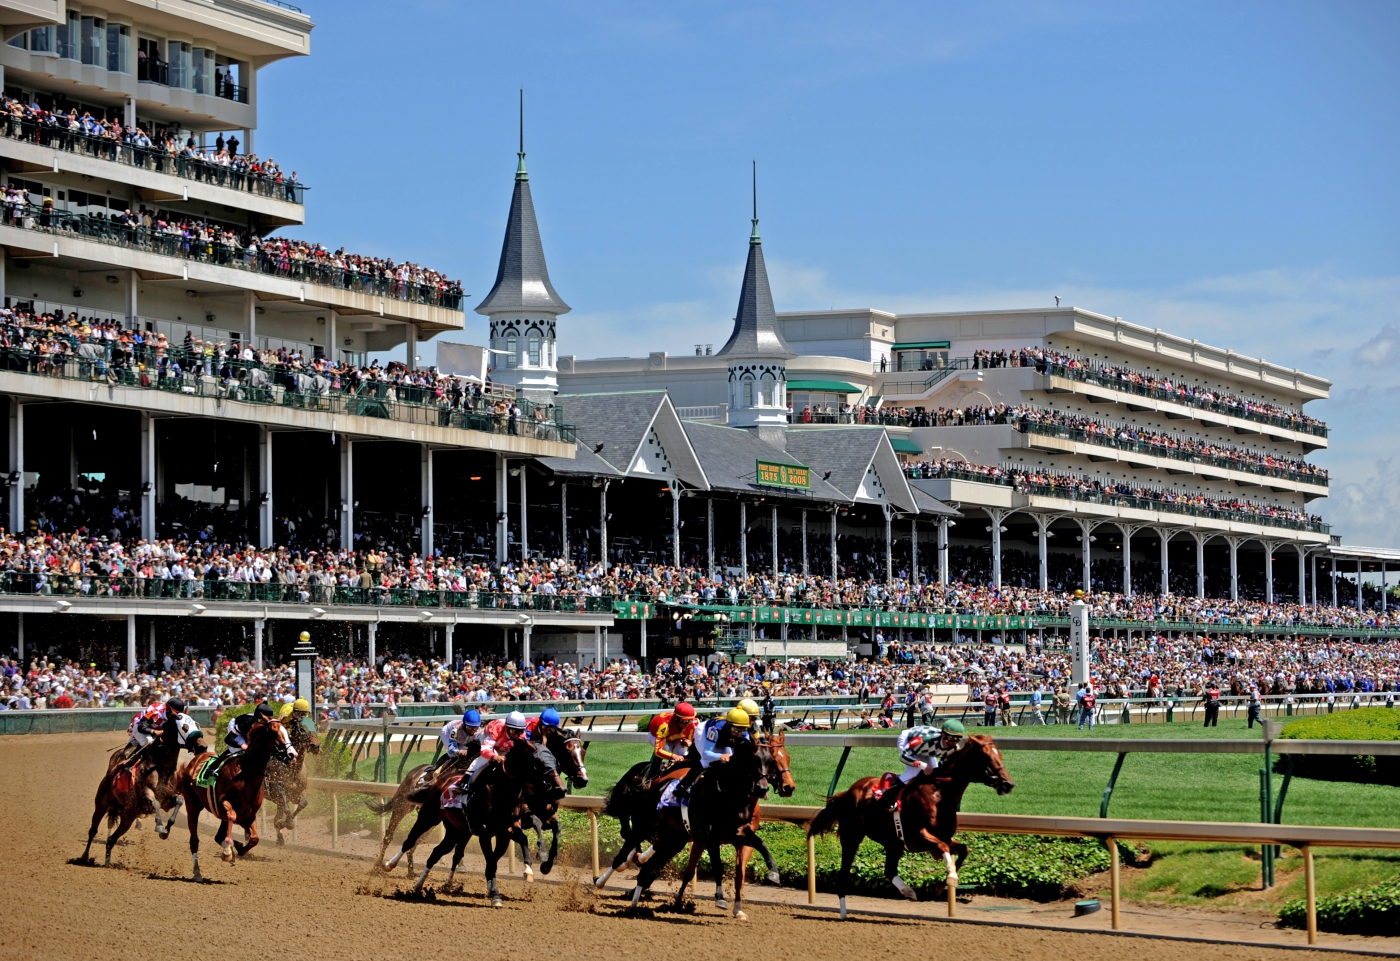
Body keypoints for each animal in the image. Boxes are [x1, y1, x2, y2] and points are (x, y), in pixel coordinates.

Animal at [173, 714, 296, 879]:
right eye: (274, 732)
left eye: (287, 731)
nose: (292, 755)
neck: (246, 774)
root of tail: (195, 760)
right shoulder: (223, 804)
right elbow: (232, 815)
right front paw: (227, 852)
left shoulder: (248, 815)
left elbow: (254, 839)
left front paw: (237, 847)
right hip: (192, 806)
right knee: (194, 840)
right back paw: (198, 872)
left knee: (218, 836)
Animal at [406, 739, 562, 907]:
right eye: (539, 762)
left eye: (556, 761)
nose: (559, 790)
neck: (501, 791)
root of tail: (441, 781)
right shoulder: (485, 832)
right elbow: (491, 862)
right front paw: (495, 896)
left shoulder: (507, 829)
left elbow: (519, 842)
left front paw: (532, 869)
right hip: (428, 817)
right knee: (410, 841)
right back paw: (396, 868)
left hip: (456, 831)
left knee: (437, 852)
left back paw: (419, 886)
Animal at [806, 734, 1013, 924]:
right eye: (986, 757)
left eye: (1001, 755)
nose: (1008, 784)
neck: (939, 794)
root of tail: (849, 791)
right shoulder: (918, 837)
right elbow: (944, 848)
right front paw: (951, 878)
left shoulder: (943, 837)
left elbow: (963, 849)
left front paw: (940, 885)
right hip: (852, 837)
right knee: (843, 876)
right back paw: (843, 914)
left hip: (893, 844)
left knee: (889, 871)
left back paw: (908, 891)